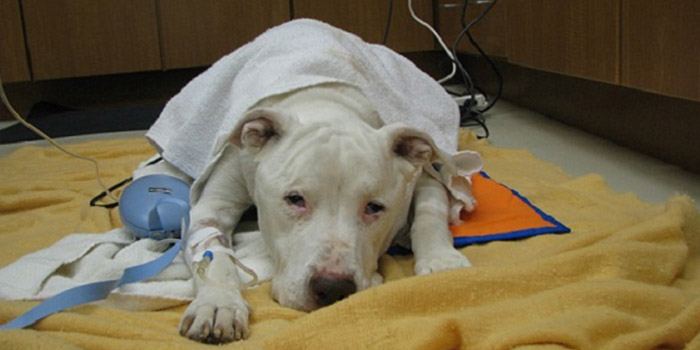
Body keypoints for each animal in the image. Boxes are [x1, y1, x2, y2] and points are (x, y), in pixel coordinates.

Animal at [175, 82, 478, 342]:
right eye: (294, 199)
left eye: (374, 207)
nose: (333, 289)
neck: (325, 106)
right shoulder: (213, 205)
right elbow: (213, 253)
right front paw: (219, 304)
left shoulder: (423, 175)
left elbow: (431, 211)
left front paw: (442, 261)